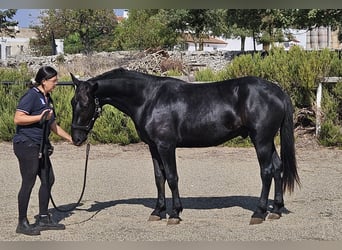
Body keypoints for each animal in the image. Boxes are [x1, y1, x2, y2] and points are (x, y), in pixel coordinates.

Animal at [70, 67, 300, 226]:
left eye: (86, 103)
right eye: (73, 102)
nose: (76, 138)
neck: (148, 98)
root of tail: (278, 92)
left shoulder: (166, 146)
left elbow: (172, 177)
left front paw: (174, 213)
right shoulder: (153, 147)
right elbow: (159, 178)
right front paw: (157, 211)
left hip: (261, 140)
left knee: (266, 171)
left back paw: (259, 213)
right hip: (267, 141)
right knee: (277, 168)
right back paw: (275, 210)